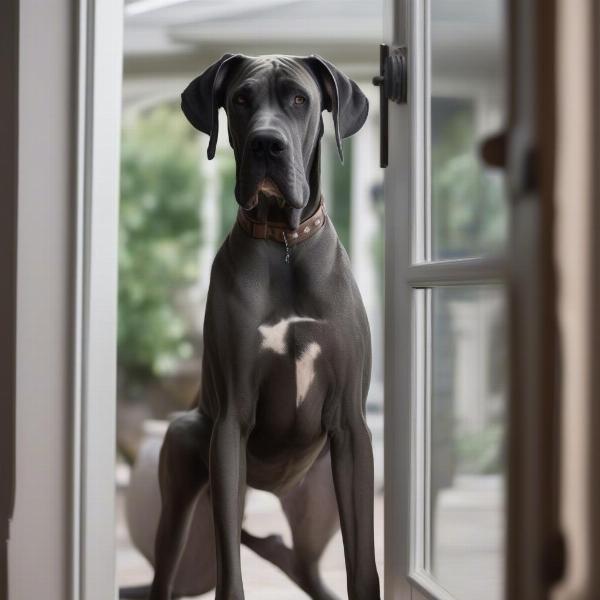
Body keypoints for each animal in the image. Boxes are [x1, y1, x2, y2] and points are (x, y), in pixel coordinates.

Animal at [146, 54, 380, 600]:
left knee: (305, 564)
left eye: (299, 99)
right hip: (184, 478)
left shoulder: (351, 428)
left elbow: (364, 561)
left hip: (317, 504)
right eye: (240, 99)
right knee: (169, 566)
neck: (284, 244)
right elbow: (228, 564)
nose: (266, 143)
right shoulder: (232, 421)